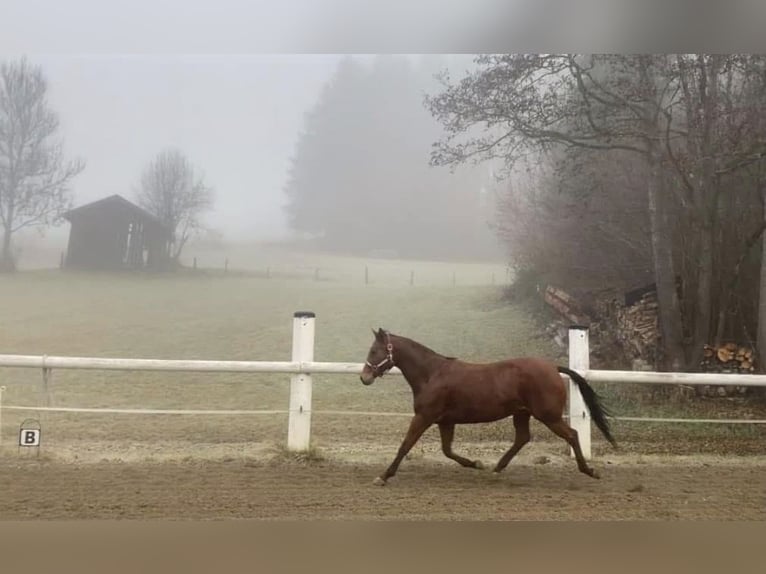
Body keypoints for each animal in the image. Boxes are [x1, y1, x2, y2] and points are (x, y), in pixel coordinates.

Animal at [359, 328, 617, 486]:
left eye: (374, 350)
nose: (364, 377)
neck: (431, 374)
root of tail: (553, 368)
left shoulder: (424, 417)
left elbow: (405, 445)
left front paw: (383, 476)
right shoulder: (445, 421)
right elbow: (447, 450)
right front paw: (476, 463)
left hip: (548, 416)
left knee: (572, 435)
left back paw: (590, 471)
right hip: (522, 413)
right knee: (522, 438)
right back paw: (496, 468)